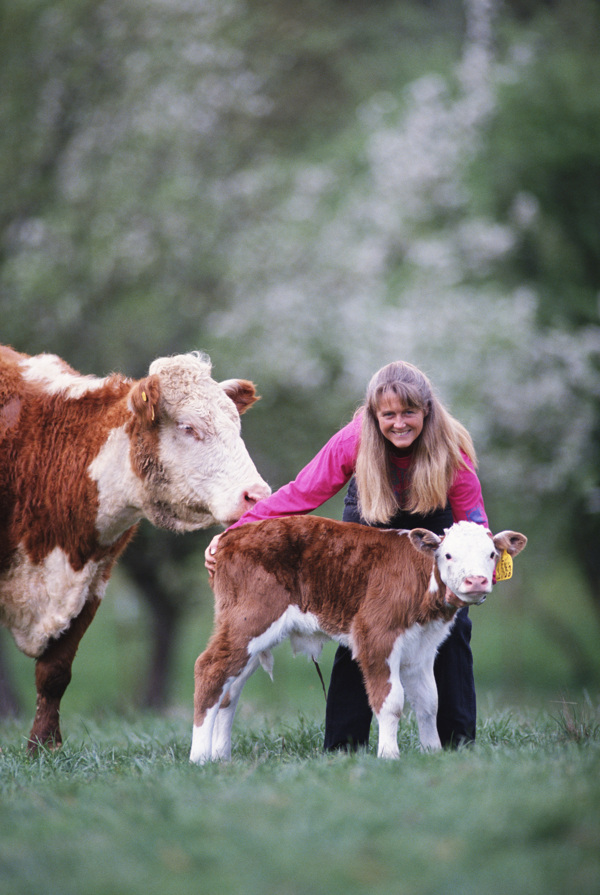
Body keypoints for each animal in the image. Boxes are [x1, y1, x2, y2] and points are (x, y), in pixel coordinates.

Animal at [0, 346, 270, 752]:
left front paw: (44, 748)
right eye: (188, 427)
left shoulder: (92, 581)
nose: (257, 495)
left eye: (236, 426)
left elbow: (54, 674)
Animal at [191, 520, 524, 764]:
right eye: (448, 555)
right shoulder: (376, 635)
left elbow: (429, 701)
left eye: (491, 554)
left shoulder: (423, 647)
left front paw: (433, 752)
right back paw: (200, 758)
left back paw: (221, 756)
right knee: (209, 670)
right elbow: (391, 701)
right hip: (250, 620)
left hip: (247, 638)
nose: (476, 581)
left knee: (229, 691)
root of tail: (234, 535)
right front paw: (389, 755)